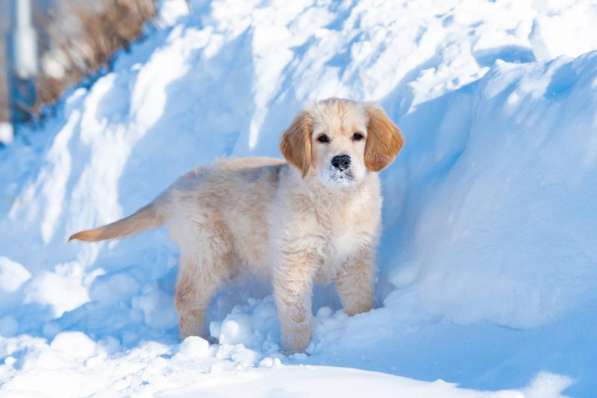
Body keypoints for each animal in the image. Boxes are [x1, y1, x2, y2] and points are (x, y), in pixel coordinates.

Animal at [71, 98, 406, 352]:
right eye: (322, 138)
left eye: (358, 136)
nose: (341, 161)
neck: (334, 200)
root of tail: (174, 188)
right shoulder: (294, 261)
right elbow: (297, 315)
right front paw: (298, 353)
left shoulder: (357, 257)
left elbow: (359, 299)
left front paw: (363, 326)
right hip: (209, 251)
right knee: (187, 298)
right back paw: (198, 342)